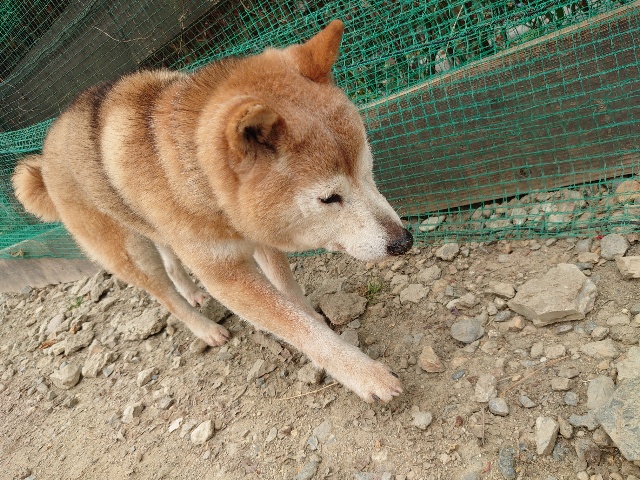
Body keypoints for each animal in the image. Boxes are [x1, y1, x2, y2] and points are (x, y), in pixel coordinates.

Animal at [12, 20, 413, 403]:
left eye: (367, 170)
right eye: (330, 198)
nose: (404, 241)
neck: (204, 185)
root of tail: (44, 156)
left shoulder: (258, 231)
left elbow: (289, 292)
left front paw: (311, 312)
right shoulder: (225, 275)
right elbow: (297, 326)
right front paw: (364, 374)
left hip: (156, 230)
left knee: (172, 262)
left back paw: (190, 291)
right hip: (129, 252)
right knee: (163, 294)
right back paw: (203, 327)